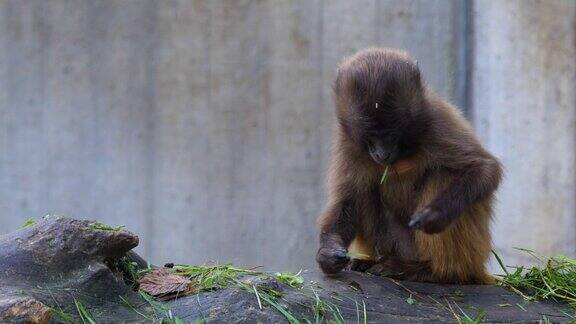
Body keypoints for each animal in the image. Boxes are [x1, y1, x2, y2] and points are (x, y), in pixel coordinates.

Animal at [318, 47, 502, 284]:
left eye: (392, 133)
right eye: (371, 137)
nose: (383, 154)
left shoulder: (435, 120)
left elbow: (484, 168)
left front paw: (436, 215)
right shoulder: (348, 143)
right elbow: (348, 200)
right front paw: (328, 254)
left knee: (442, 175)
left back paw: (432, 271)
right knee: (365, 191)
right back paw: (369, 262)